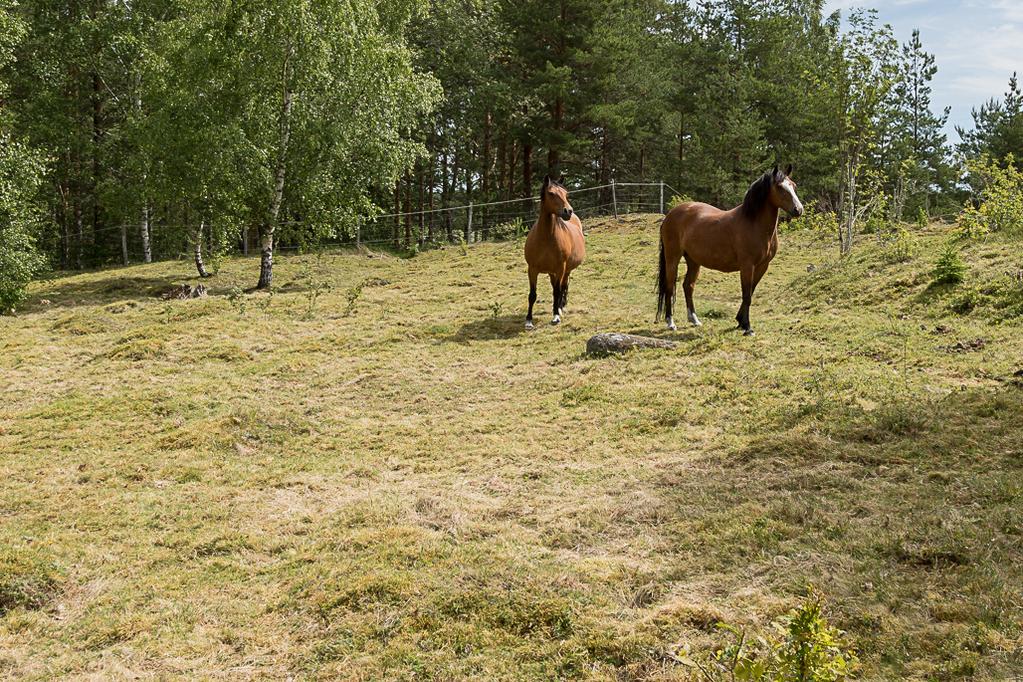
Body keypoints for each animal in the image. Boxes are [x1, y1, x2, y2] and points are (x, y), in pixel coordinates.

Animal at [527, 177, 585, 329]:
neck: (545, 237)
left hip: (565, 270)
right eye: (551, 193)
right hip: (552, 272)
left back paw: (560, 307)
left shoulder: (560, 268)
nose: (568, 211)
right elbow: (532, 294)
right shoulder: (532, 269)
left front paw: (556, 316)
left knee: (562, 287)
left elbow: (557, 291)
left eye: (566, 194)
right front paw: (528, 320)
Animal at [658, 165, 802, 335]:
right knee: (669, 286)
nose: (798, 210)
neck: (753, 223)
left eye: (793, 186)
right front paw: (747, 327)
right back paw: (670, 322)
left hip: (693, 260)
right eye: (780, 187)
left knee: (688, 286)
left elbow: (750, 292)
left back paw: (694, 319)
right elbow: (746, 295)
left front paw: (740, 322)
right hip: (672, 257)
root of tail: (671, 215)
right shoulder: (747, 266)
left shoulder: (762, 266)